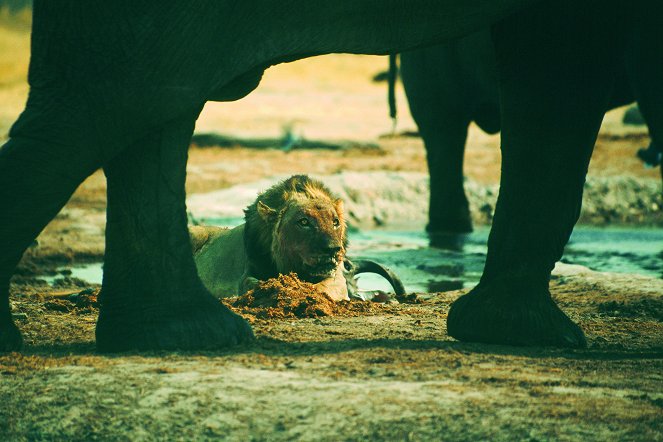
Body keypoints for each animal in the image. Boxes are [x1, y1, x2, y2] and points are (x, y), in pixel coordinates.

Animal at [189, 175, 402, 300]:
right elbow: (252, 283)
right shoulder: (247, 273)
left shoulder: (336, 277)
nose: (334, 249)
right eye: (304, 222)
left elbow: (326, 287)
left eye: (335, 222)